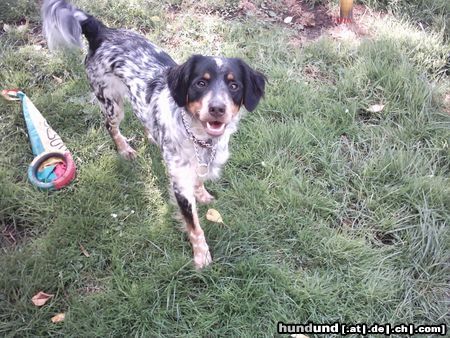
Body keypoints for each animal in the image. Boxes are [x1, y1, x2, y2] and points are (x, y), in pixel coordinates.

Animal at [41, 0, 268, 270]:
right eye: (200, 83)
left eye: (234, 86)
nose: (217, 109)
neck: (200, 138)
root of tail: (101, 30)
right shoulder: (180, 183)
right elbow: (194, 225)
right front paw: (201, 255)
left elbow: (200, 182)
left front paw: (203, 194)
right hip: (111, 103)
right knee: (110, 127)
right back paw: (124, 149)